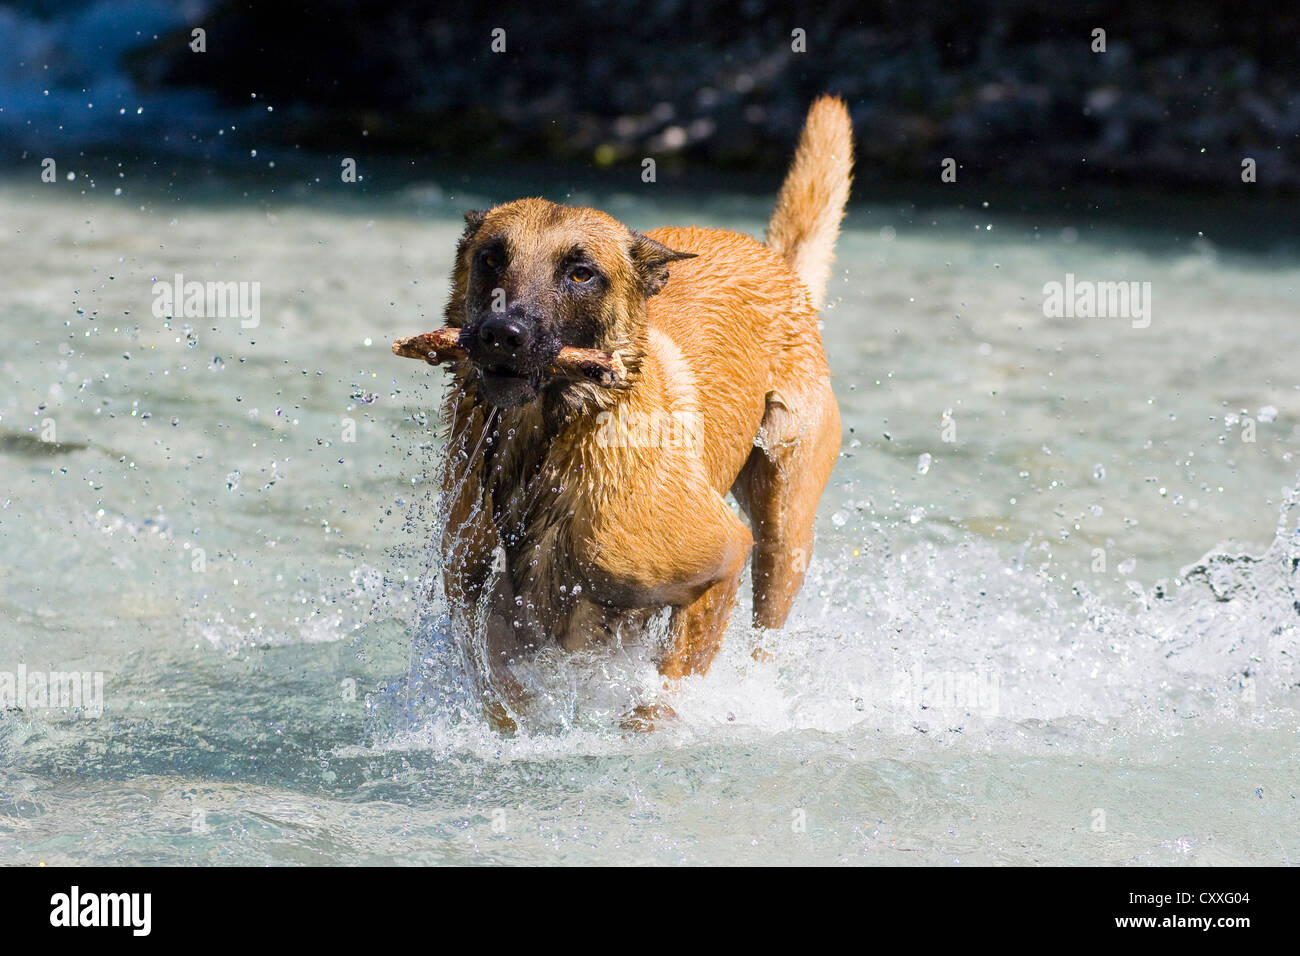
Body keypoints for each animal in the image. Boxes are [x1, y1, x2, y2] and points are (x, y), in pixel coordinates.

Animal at [431, 95, 847, 733]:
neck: (547, 446)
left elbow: (662, 696)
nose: (503, 333)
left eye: (581, 273)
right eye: (491, 259)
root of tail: (776, 262)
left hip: (784, 528)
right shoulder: (478, 602)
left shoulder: (723, 559)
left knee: (764, 633)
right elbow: (500, 687)